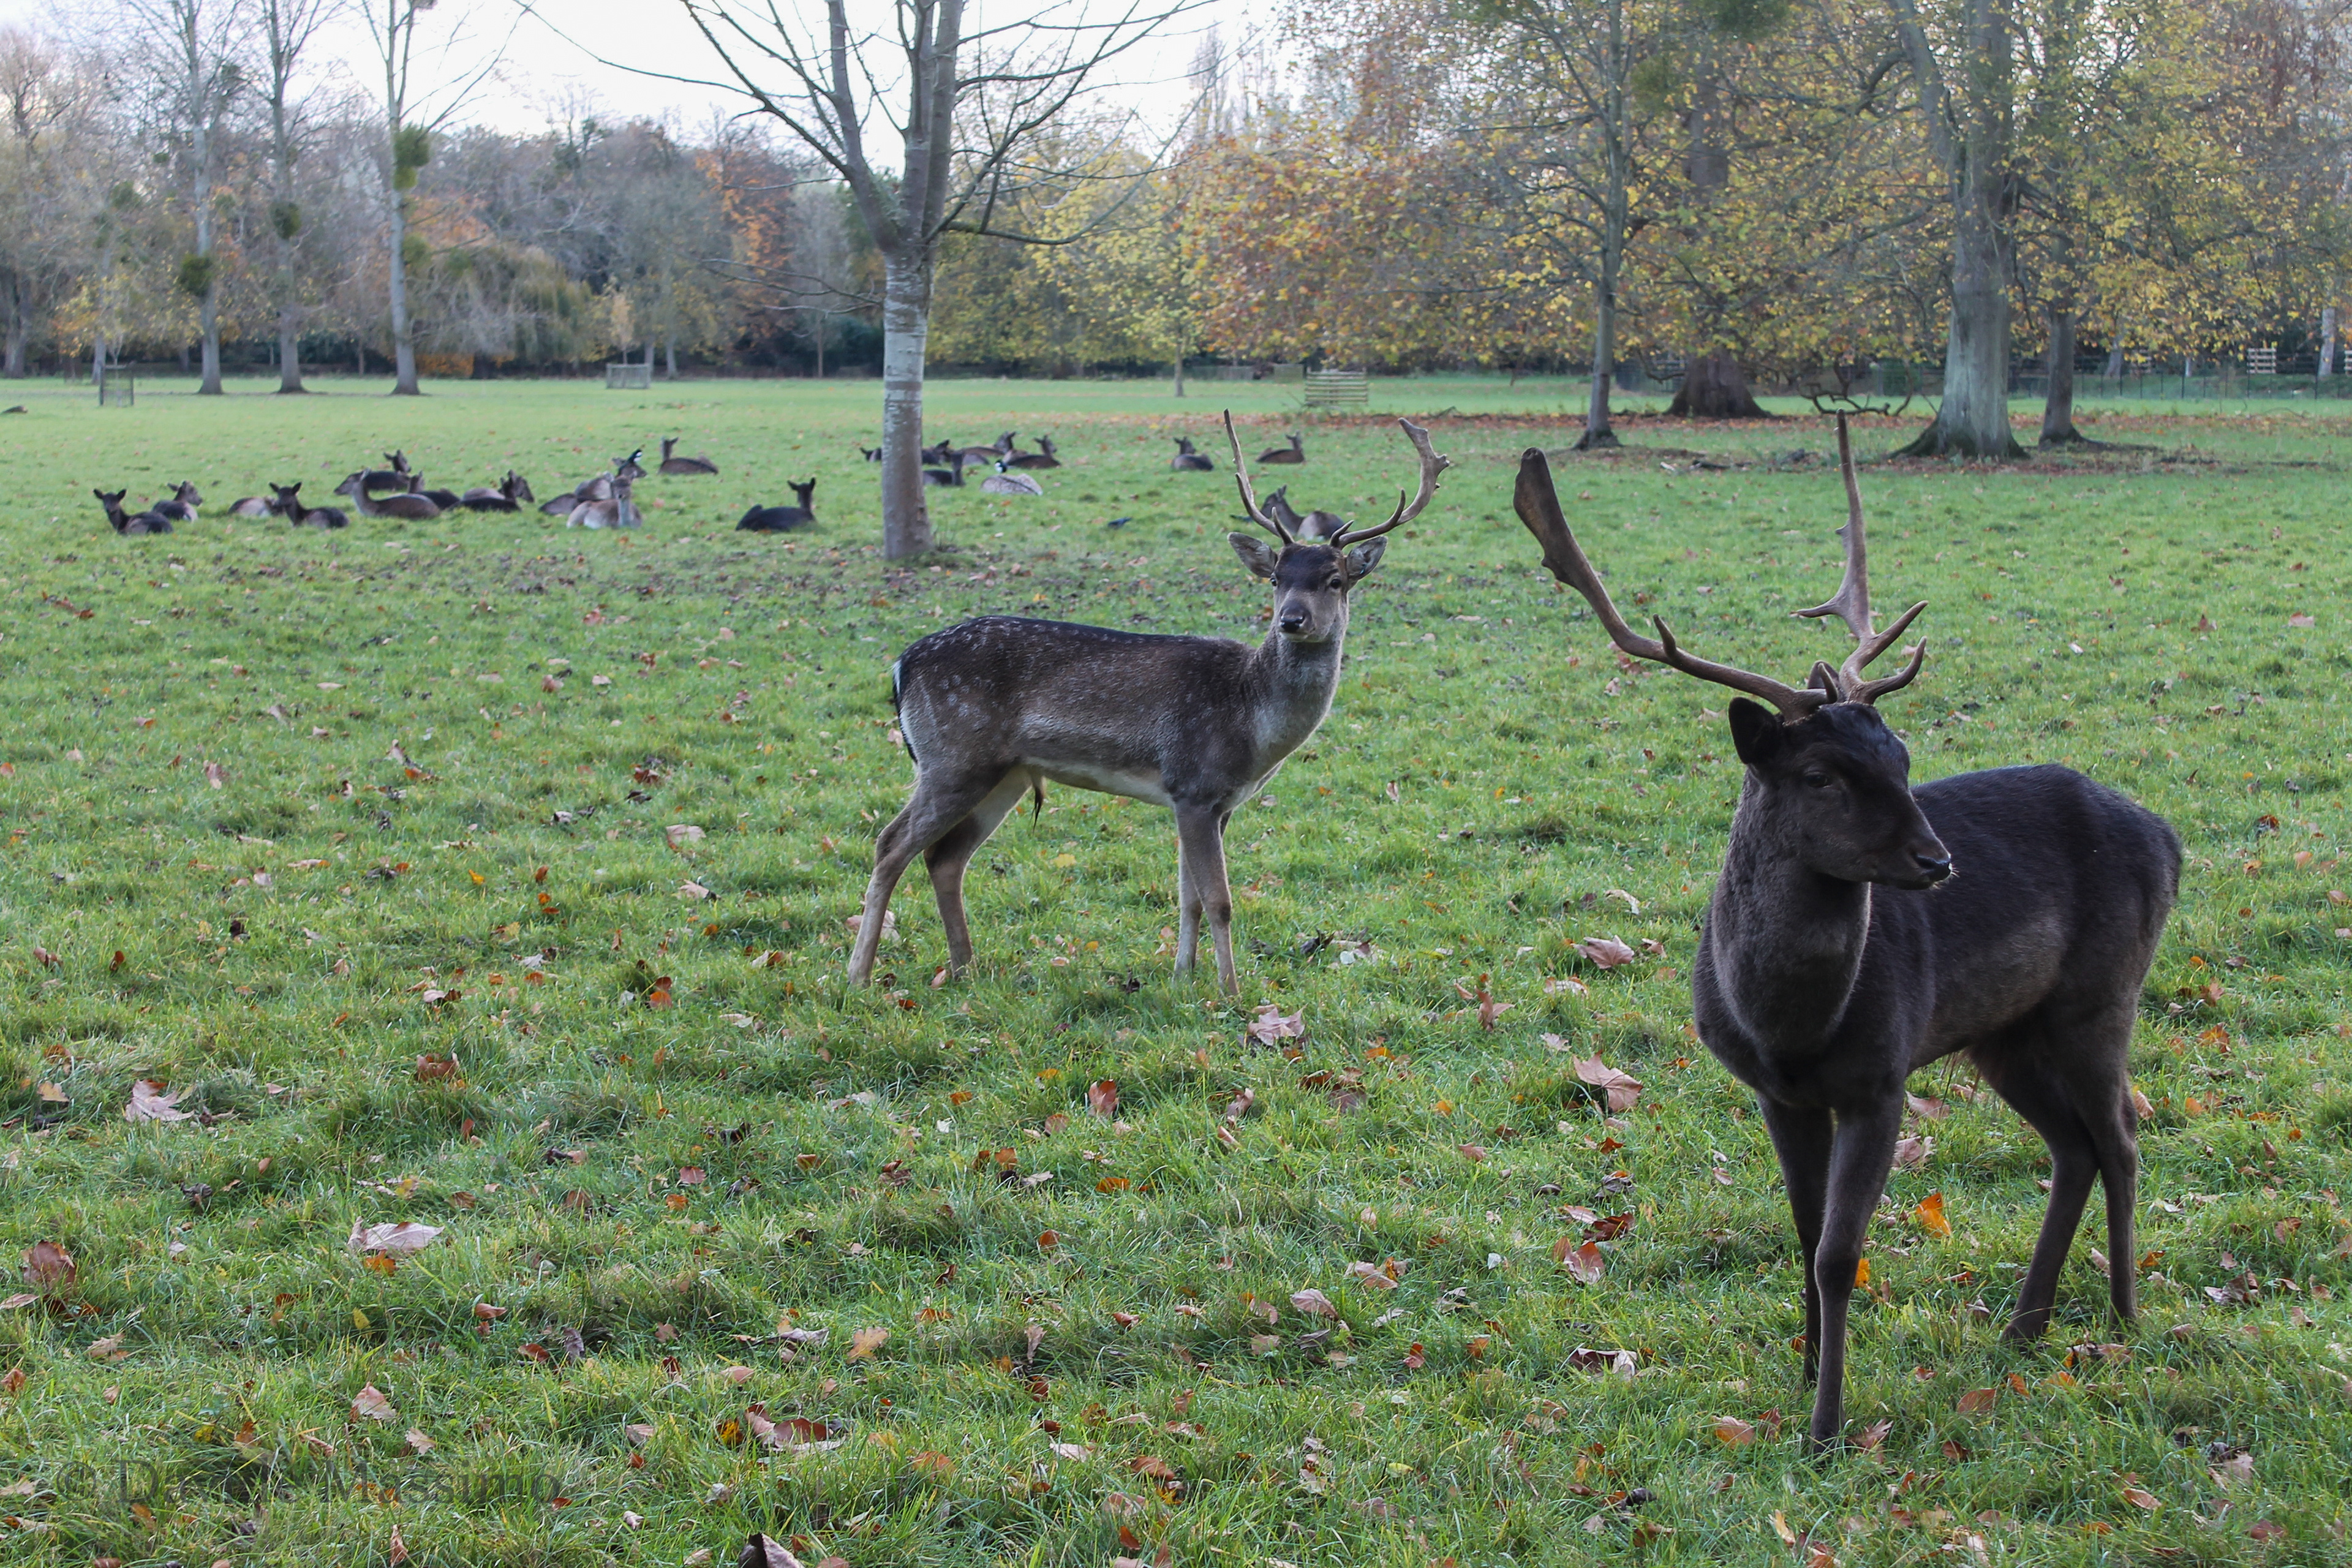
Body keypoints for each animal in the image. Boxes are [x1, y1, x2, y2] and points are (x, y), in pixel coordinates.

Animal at [848, 412, 1449, 995]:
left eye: (1335, 580)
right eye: (1277, 578)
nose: (1292, 620)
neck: (1252, 727)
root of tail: (901, 666)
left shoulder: (1212, 802)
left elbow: (1189, 897)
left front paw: (1182, 979)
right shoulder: (1195, 785)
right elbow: (1220, 901)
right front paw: (1230, 993)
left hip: (1005, 773)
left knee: (944, 857)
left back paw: (965, 969)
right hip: (952, 755)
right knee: (889, 844)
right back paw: (859, 974)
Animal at [1512, 418, 2180, 1452]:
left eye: (1903, 755)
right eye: (1822, 773)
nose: (1937, 860)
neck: (1793, 1026)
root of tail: (2169, 839)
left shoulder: (1881, 1075)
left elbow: (1839, 1248)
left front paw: (1827, 1429)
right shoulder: (1778, 1094)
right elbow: (1801, 1226)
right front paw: (1799, 1376)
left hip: (2103, 993)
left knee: (2122, 1137)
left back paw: (2121, 1316)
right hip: (2004, 1030)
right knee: (2071, 1147)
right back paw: (2025, 1327)